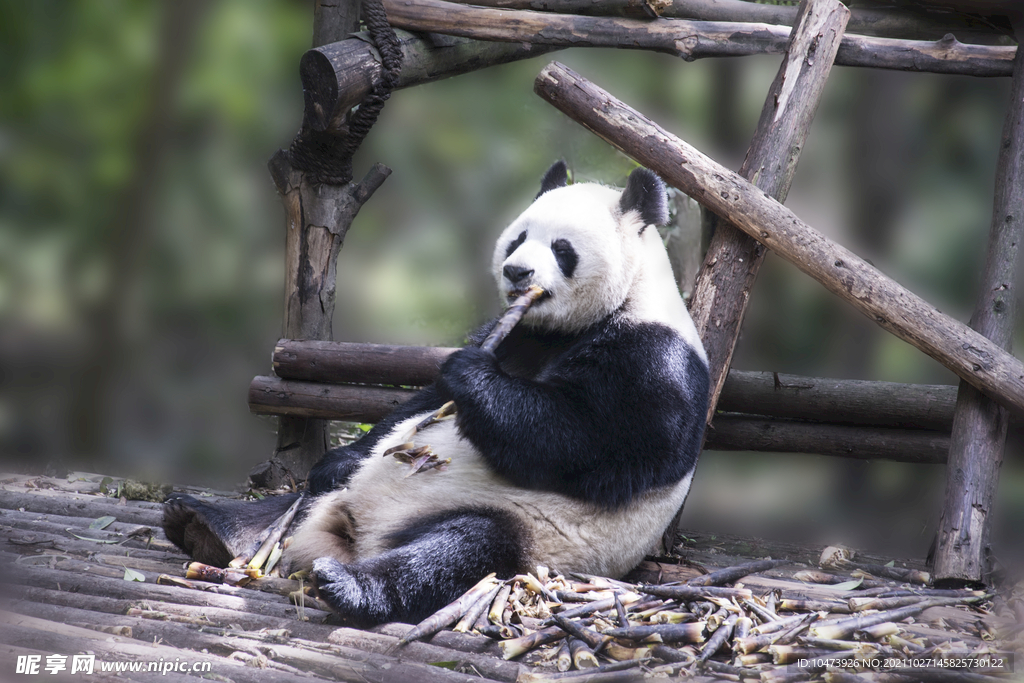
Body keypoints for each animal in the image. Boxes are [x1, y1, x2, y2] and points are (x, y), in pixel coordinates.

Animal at [163, 162, 708, 626]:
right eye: (518, 238)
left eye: (561, 248)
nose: (516, 272)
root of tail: (350, 535)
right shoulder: (516, 334)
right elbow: (418, 404)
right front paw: (343, 454)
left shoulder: (653, 362)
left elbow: (583, 440)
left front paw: (471, 374)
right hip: (330, 503)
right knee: (292, 501)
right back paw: (201, 523)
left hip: (531, 531)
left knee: (460, 550)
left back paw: (351, 587)